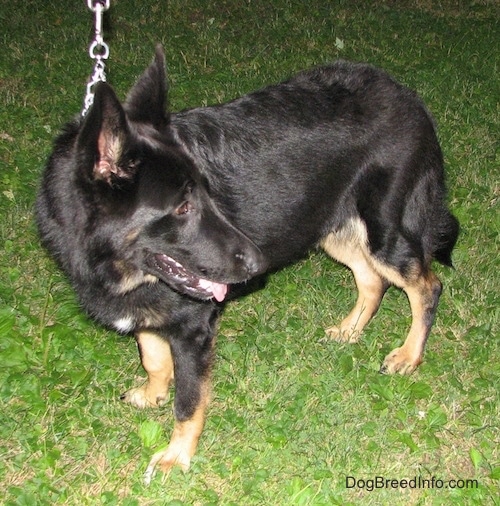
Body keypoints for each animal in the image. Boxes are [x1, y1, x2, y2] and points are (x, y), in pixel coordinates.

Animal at [36, 46, 458, 482]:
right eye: (183, 207)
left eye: (207, 193)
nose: (259, 265)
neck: (118, 263)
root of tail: (410, 99)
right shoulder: (151, 306)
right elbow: (152, 356)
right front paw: (154, 393)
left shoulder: (193, 329)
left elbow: (188, 402)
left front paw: (176, 456)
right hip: (331, 227)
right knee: (372, 281)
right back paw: (350, 329)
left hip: (384, 231)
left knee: (427, 286)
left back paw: (409, 355)